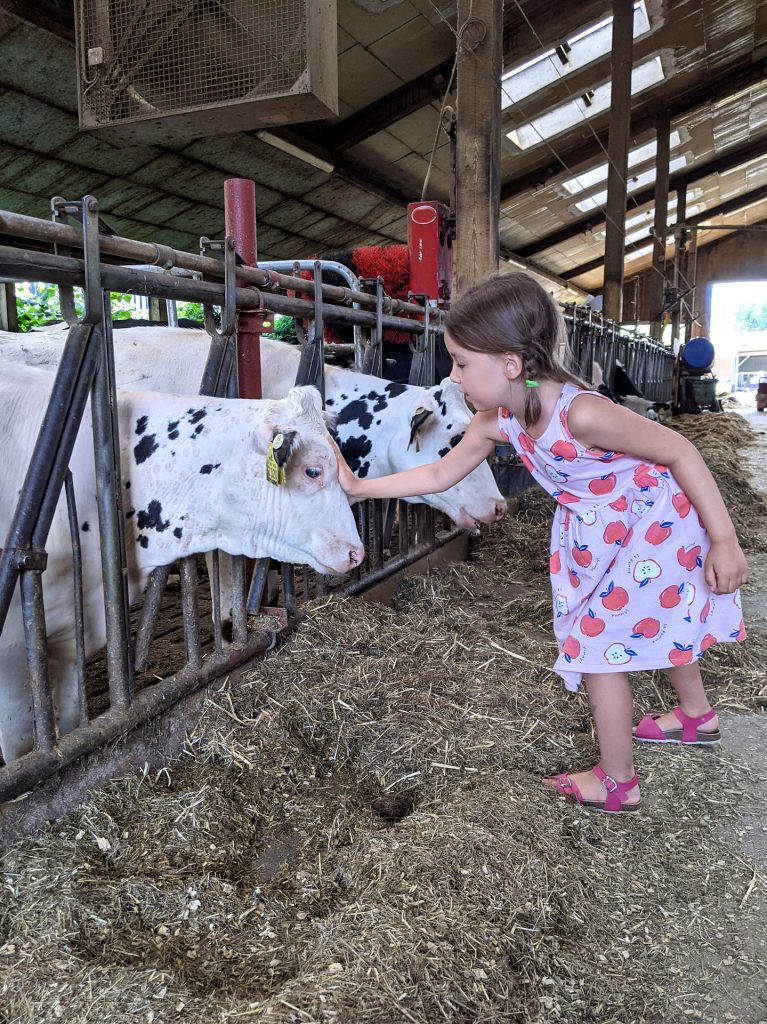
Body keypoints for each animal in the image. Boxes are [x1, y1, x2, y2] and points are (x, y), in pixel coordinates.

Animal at [0, 364, 364, 765]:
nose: (357, 553)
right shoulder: (13, 654)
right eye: (313, 471)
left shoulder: (67, 644)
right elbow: (25, 749)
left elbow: (64, 727)